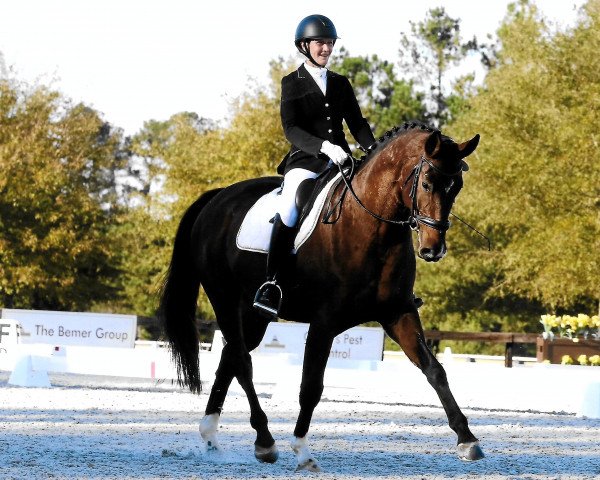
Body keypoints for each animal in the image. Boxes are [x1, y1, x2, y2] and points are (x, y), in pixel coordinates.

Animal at [158, 122, 482, 470]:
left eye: (457, 187)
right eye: (426, 183)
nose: (433, 250)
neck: (372, 229)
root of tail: (217, 197)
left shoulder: (398, 314)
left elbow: (435, 370)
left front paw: (467, 440)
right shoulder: (324, 322)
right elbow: (311, 386)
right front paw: (301, 449)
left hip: (254, 312)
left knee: (230, 357)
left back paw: (211, 436)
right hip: (224, 298)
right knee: (243, 362)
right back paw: (265, 441)